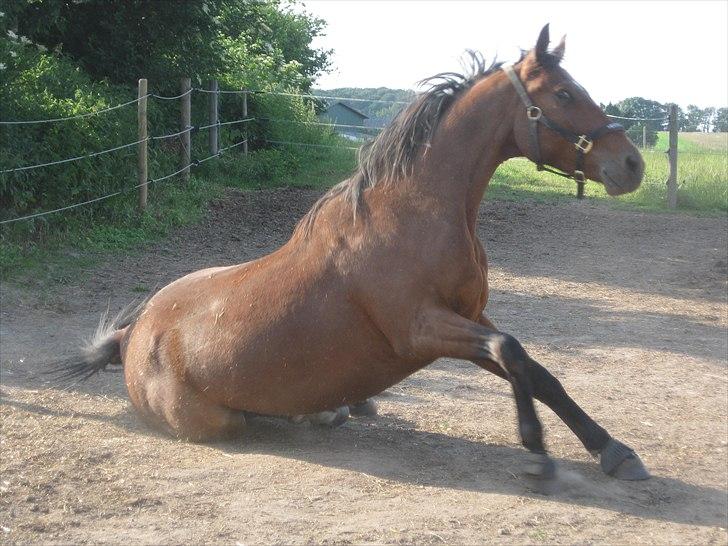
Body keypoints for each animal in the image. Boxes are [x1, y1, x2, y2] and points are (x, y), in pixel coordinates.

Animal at [51, 26, 648, 480]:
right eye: (564, 94)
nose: (632, 163)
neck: (415, 214)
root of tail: (133, 334)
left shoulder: (469, 316)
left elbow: (536, 370)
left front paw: (615, 452)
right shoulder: (421, 329)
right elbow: (512, 352)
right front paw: (537, 452)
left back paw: (333, 410)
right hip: (217, 422)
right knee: (250, 419)